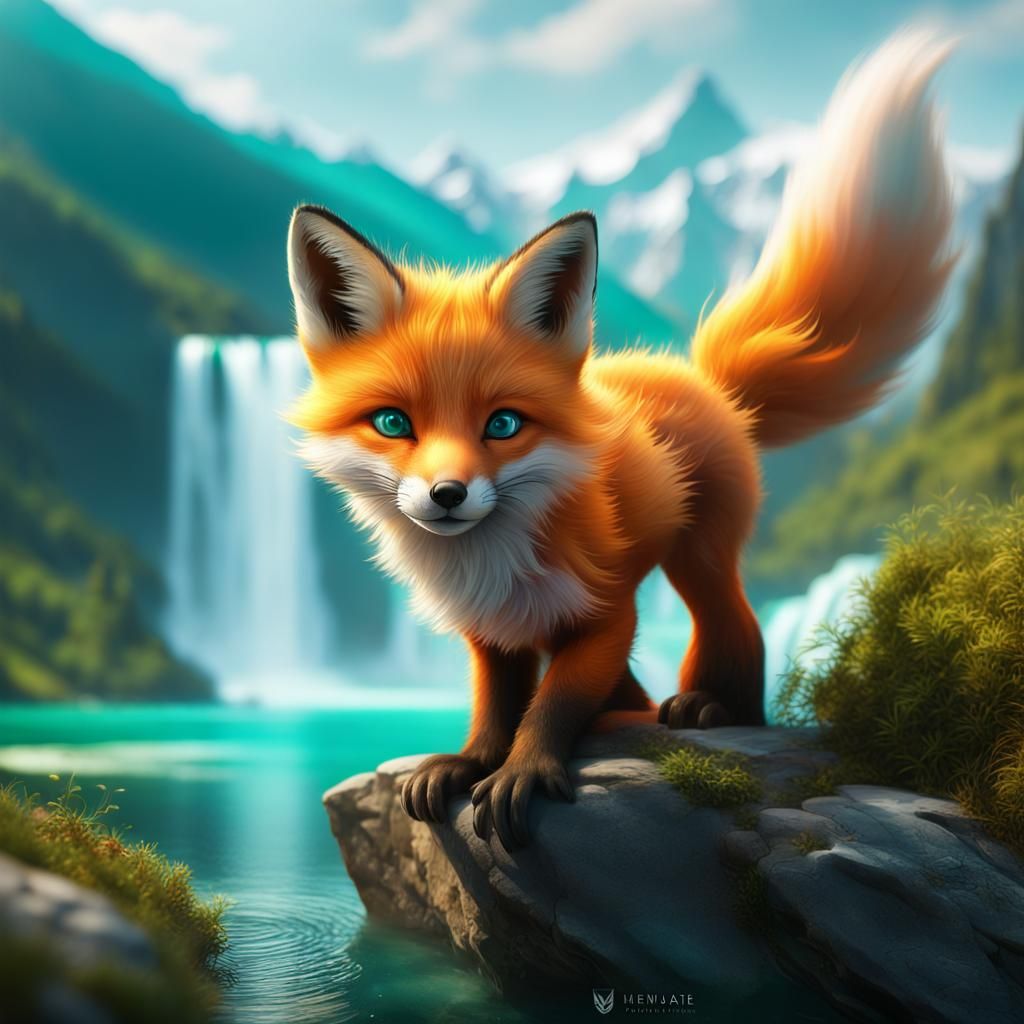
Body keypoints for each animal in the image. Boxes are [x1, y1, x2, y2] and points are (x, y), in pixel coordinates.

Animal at [285, 32, 954, 851]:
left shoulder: (606, 613)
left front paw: (525, 770)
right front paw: (471, 761)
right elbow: (496, 706)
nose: (447, 494)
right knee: (634, 691)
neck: (490, 564)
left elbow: (553, 703)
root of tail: (700, 377)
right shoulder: (491, 631)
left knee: (737, 636)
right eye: (392, 423)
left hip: (699, 563)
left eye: (502, 424)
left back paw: (713, 710)